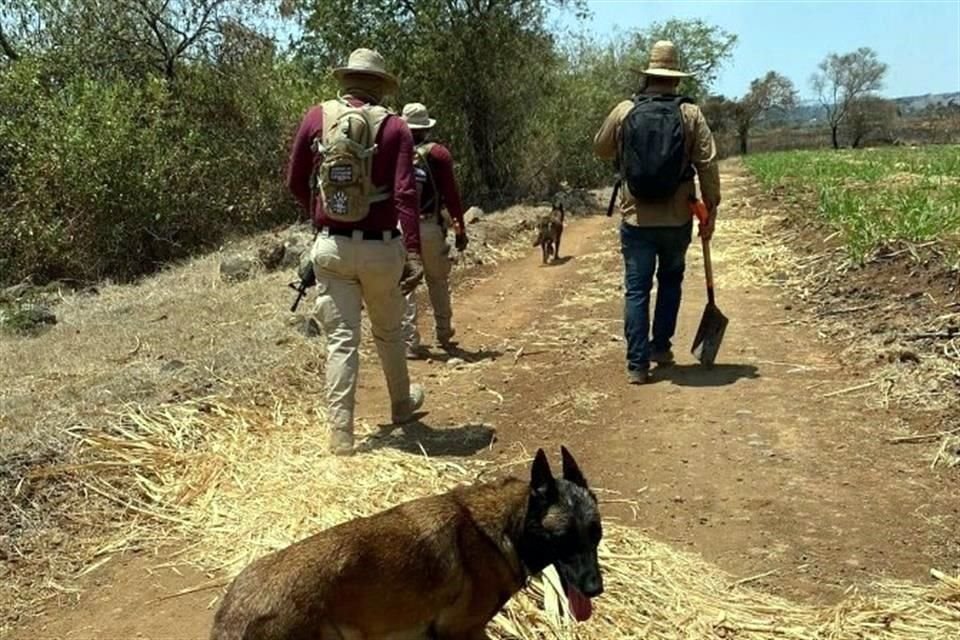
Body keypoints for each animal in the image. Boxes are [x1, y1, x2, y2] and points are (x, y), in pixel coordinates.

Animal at [210, 444, 600, 640]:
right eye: (563, 539)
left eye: (596, 535)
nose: (596, 588)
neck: (507, 527)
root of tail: (232, 613)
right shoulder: (462, 632)